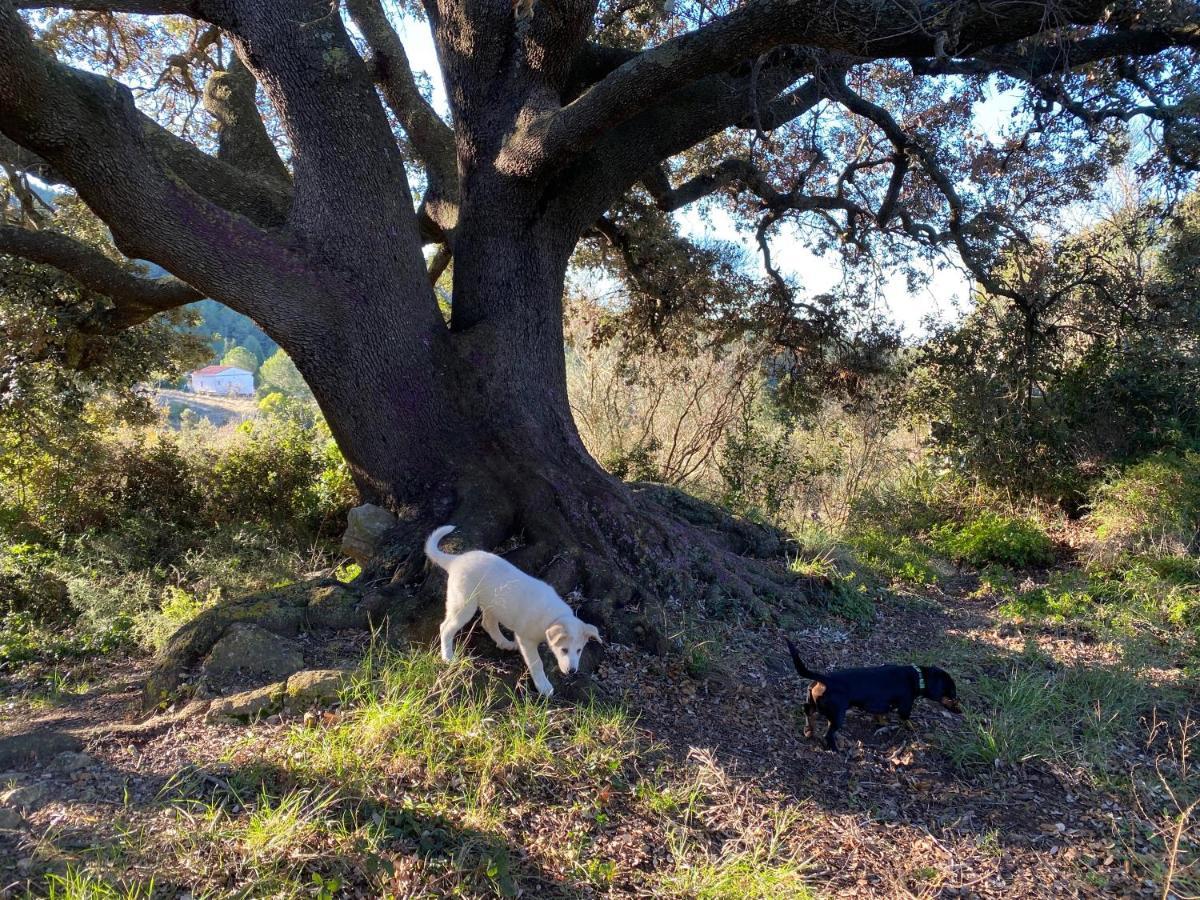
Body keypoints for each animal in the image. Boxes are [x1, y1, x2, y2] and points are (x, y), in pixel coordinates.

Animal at [427, 528, 604, 696]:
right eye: (564, 650)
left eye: (579, 650)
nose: (572, 671)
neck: (554, 618)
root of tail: (456, 560)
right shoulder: (526, 639)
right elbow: (537, 663)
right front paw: (543, 686)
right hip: (464, 604)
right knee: (446, 628)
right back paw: (448, 657)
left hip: (493, 604)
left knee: (487, 623)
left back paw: (504, 643)